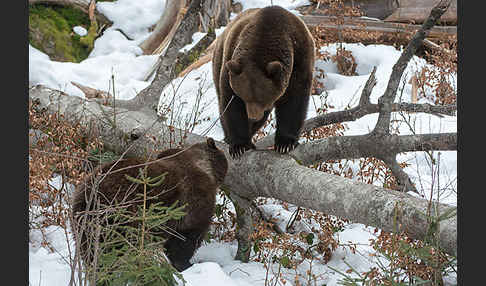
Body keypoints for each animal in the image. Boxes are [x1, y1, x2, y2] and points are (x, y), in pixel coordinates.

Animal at [71, 139, 229, 272]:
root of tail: (90, 194)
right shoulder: (194, 201)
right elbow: (185, 239)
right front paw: (186, 264)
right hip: (121, 215)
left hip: (84, 222)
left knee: (91, 252)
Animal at [213, 5, 316, 159]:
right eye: (244, 96)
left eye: (262, 98)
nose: (252, 117)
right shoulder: (230, 62)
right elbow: (231, 103)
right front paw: (239, 146)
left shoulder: (300, 61)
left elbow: (294, 102)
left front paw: (285, 144)